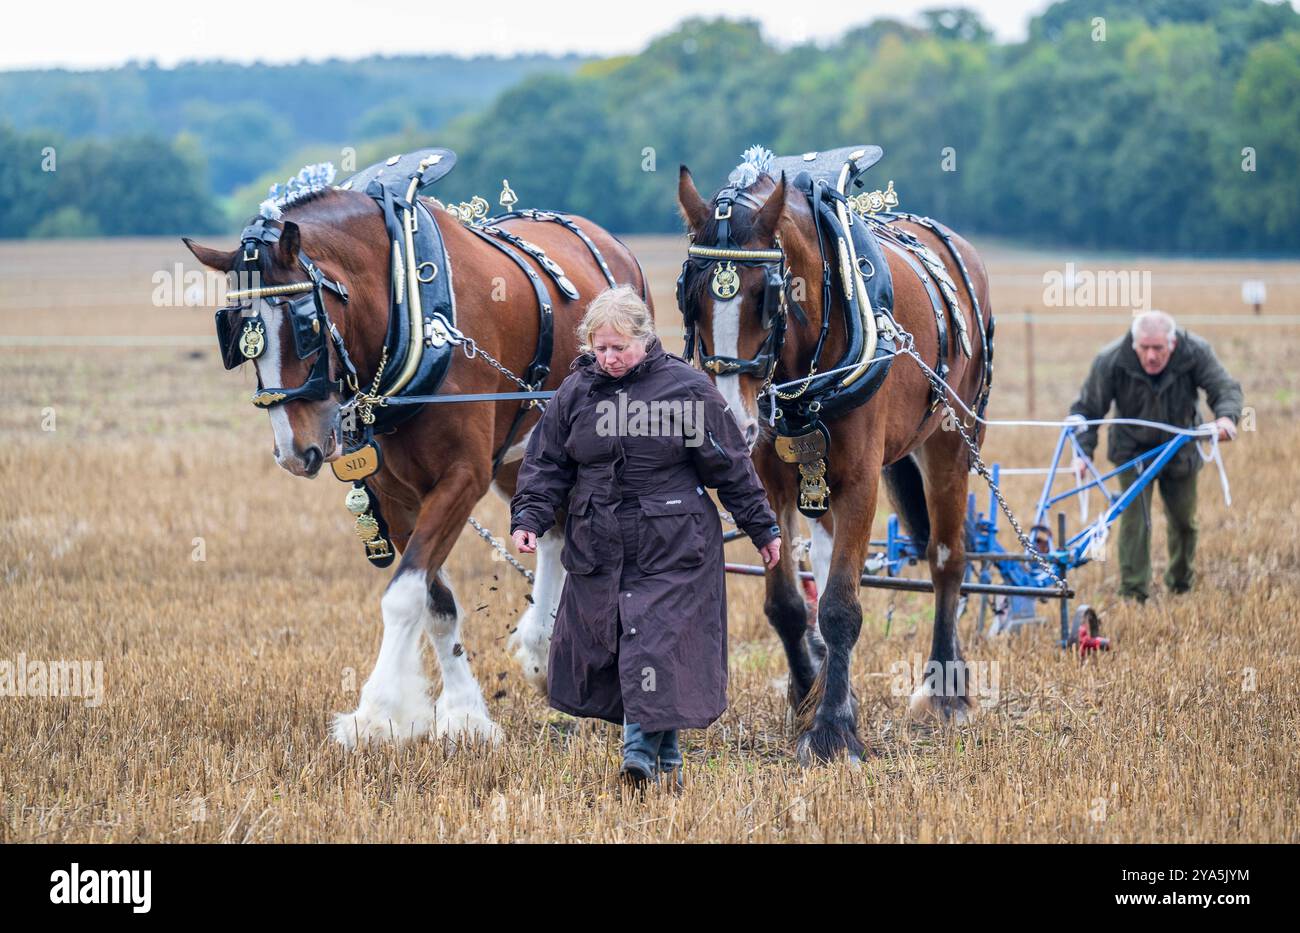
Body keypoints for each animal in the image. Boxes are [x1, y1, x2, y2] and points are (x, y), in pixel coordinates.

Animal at [183, 185, 650, 748]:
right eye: (234, 334)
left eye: (307, 325)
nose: (295, 452)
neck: (411, 313)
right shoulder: (395, 496)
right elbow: (436, 603)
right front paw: (463, 713)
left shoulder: (463, 478)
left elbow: (404, 596)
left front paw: (375, 712)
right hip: (524, 450)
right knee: (553, 531)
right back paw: (541, 649)